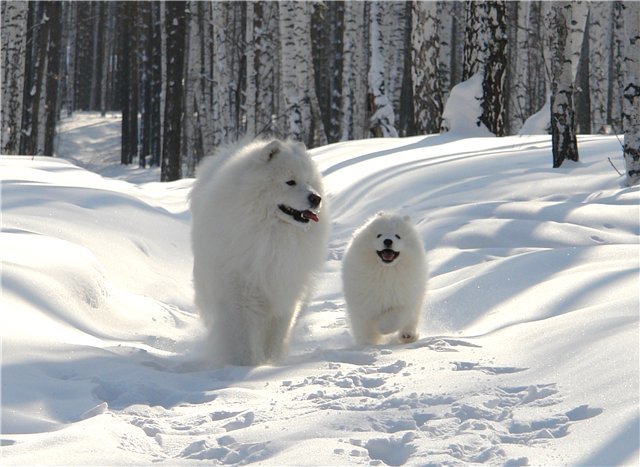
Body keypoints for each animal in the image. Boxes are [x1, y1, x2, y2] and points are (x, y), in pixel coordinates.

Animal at [189, 139, 330, 366]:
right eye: (290, 182)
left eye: (309, 182)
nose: (316, 198)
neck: (272, 234)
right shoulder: (239, 291)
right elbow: (244, 335)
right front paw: (249, 365)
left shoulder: (285, 289)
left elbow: (277, 335)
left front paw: (271, 364)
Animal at [342, 214, 428, 346]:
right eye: (379, 235)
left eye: (398, 236)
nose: (388, 241)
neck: (386, 271)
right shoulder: (365, 301)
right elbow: (368, 321)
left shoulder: (405, 298)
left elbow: (395, 317)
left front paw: (383, 327)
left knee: (410, 322)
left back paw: (408, 335)